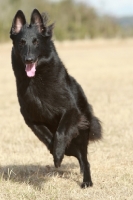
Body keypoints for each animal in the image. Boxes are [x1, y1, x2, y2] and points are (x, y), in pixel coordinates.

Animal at [10, 9, 102, 188]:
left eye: (36, 42)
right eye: (21, 43)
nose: (29, 59)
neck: (36, 79)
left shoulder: (71, 110)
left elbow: (60, 132)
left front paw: (58, 155)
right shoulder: (30, 118)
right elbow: (46, 136)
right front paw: (54, 151)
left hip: (81, 133)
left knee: (85, 160)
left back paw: (86, 181)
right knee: (76, 154)